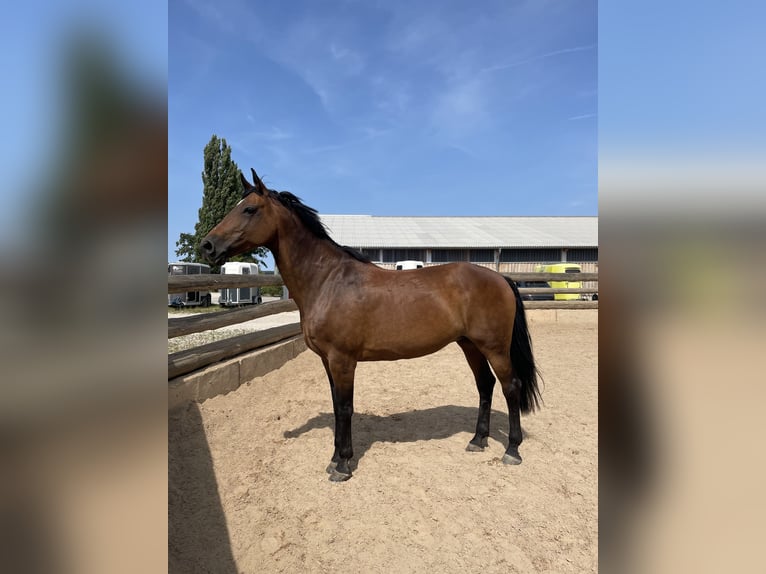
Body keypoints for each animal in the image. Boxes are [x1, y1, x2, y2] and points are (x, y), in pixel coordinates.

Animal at [201, 169, 544, 484]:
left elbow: (345, 408)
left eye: (249, 209)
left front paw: (343, 465)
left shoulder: (342, 360)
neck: (328, 281)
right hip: (469, 344)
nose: (207, 245)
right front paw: (334, 459)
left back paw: (511, 450)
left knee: (510, 387)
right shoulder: (327, 361)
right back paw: (477, 440)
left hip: (494, 347)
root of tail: (500, 277)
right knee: (485, 385)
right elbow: (336, 406)